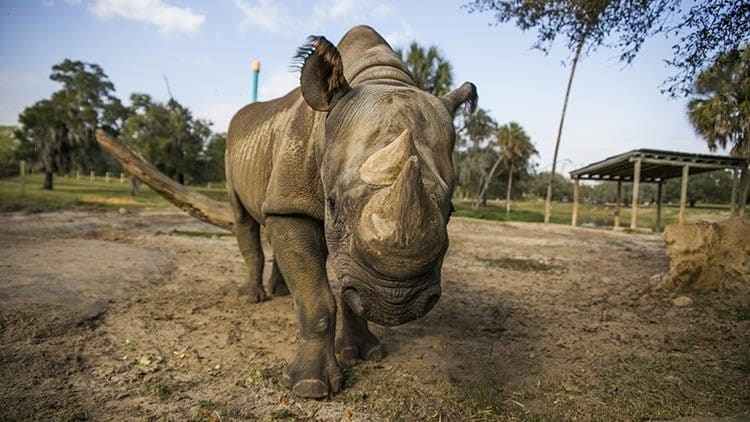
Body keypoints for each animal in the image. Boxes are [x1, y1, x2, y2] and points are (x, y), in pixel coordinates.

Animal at [96, 25, 477, 399]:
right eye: (333, 203)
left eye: (451, 211)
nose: (397, 303)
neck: (381, 77)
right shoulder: (294, 205)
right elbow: (318, 298)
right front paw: (310, 388)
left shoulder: (344, 242)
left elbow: (344, 285)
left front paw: (366, 353)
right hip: (234, 153)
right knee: (245, 220)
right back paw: (253, 298)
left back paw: (279, 292)